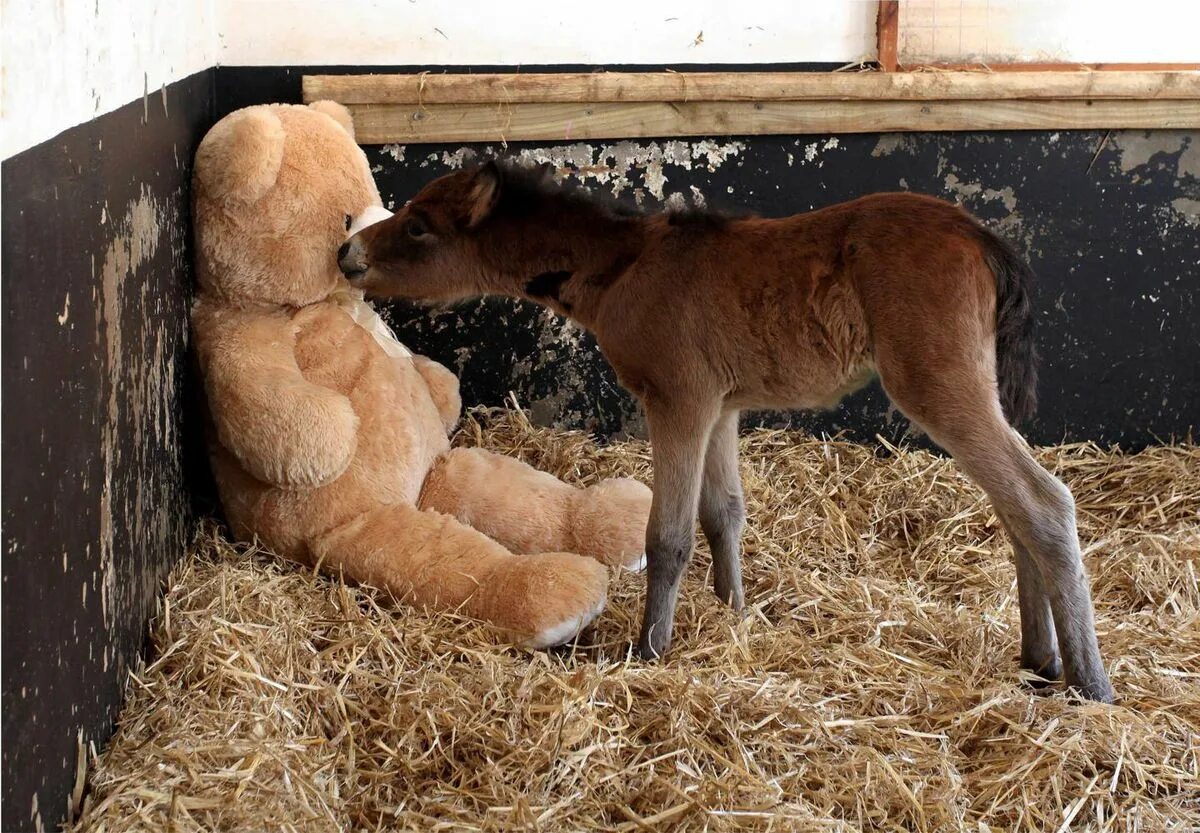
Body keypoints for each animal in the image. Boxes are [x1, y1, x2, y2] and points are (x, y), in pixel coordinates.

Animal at [343, 159, 1118, 700]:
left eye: (419, 225)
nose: (347, 254)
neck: (623, 267)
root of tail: (983, 237)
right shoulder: (720, 404)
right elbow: (725, 512)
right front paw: (733, 613)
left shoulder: (678, 399)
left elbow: (668, 535)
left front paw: (650, 649)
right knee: (1013, 508)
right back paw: (1038, 658)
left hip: (939, 384)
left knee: (1044, 501)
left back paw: (1088, 682)